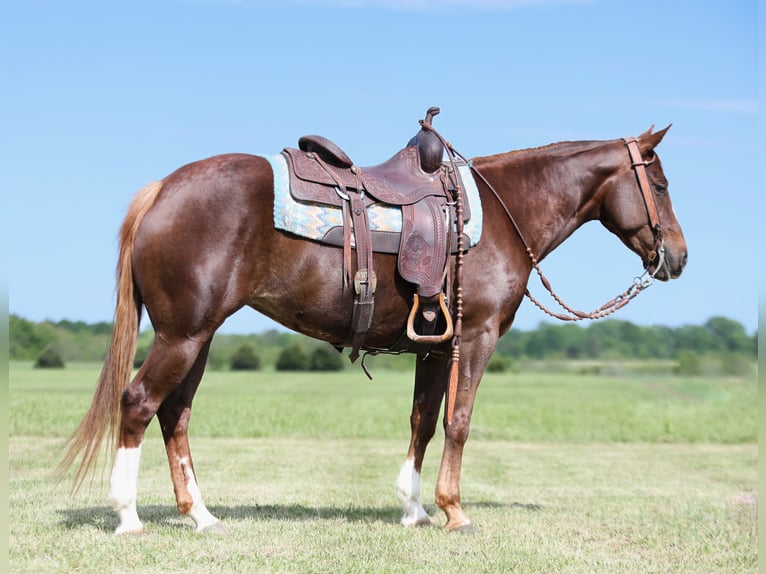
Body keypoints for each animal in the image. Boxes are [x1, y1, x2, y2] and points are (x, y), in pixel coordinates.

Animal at [60, 120, 688, 536]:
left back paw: (202, 515)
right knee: (139, 403)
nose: (678, 257)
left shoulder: (434, 346)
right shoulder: (475, 338)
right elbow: (459, 422)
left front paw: (414, 508)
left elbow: (423, 422)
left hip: (199, 338)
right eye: (659, 186)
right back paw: (128, 517)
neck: (502, 214)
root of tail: (162, 190)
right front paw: (453, 510)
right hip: (183, 335)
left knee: (175, 414)